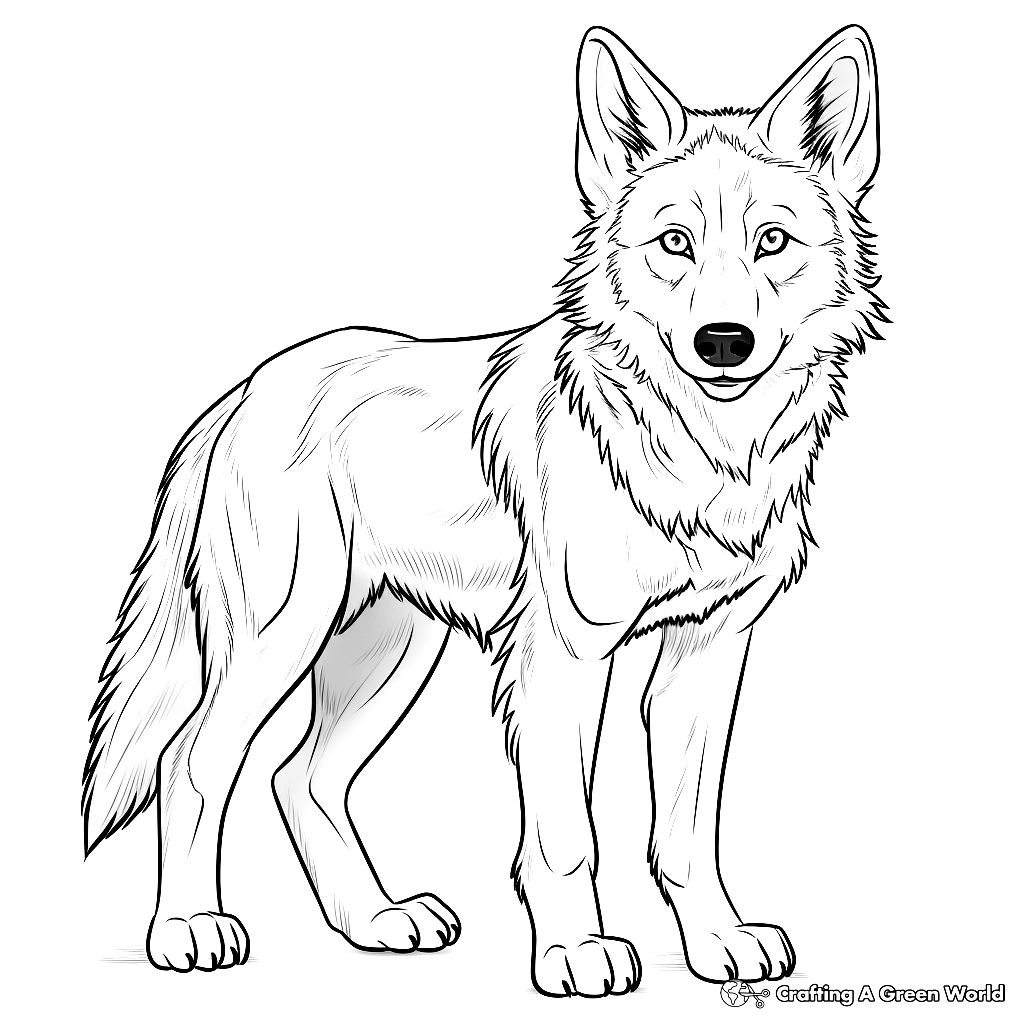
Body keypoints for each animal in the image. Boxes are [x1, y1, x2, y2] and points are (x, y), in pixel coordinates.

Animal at [83, 25, 885, 996]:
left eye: (773, 241)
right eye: (674, 243)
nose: (723, 341)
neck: (699, 456)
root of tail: (243, 391)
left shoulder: (707, 654)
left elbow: (688, 832)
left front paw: (717, 943)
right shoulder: (564, 656)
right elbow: (567, 838)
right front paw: (576, 954)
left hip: (388, 655)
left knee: (302, 779)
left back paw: (377, 921)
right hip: (281, 638)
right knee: (193, 762)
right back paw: (191, 928)